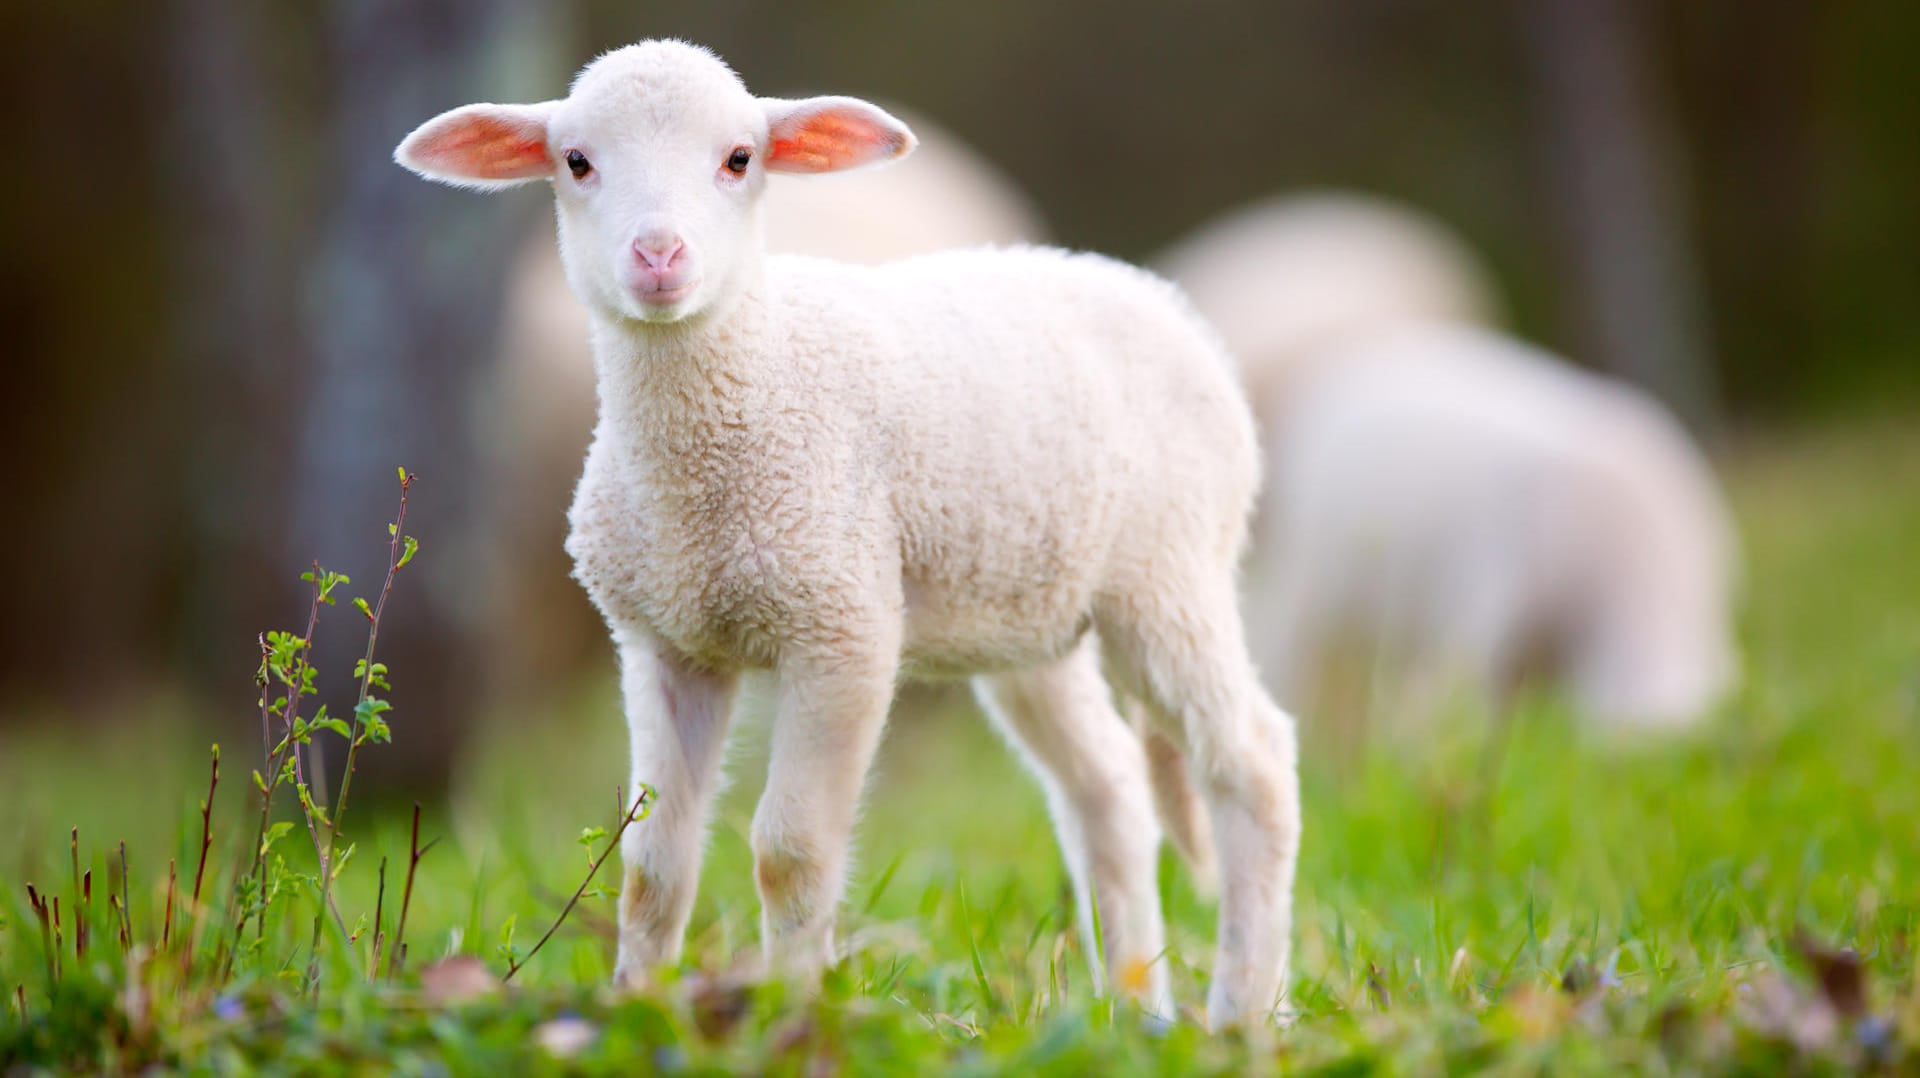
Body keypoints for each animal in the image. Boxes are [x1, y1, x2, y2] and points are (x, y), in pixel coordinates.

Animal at [401, 39, 1305, 1022]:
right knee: (1108, 787)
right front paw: (640, 1006)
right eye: (576, 162)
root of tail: (1159, 299)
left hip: (1171, 573)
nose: (659, 254)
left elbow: (789, 853)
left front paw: (791, 1011)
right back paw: (1135, 1011)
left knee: (1254, 764)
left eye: (739, 159)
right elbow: (651, 865)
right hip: (1030, 613)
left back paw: (1242, 1012)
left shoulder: (841, 629)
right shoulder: (661, 642)